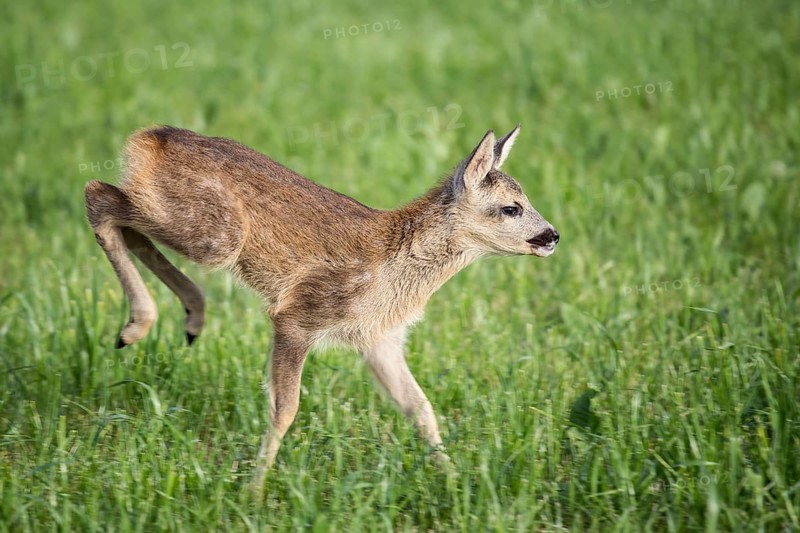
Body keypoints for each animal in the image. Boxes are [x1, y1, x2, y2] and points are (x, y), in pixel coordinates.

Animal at [84, 124, 559, 491]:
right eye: (511, 208)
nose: (553, 235)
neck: (393, 269)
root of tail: (150, 136)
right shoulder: (299, 315)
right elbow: (285, 408)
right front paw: (254, 490)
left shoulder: (379, 339)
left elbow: (421, 408)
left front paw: (455, 481)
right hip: (215, 236)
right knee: (99, 194)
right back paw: (138, 326)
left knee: (123, 218)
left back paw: (186, 316)